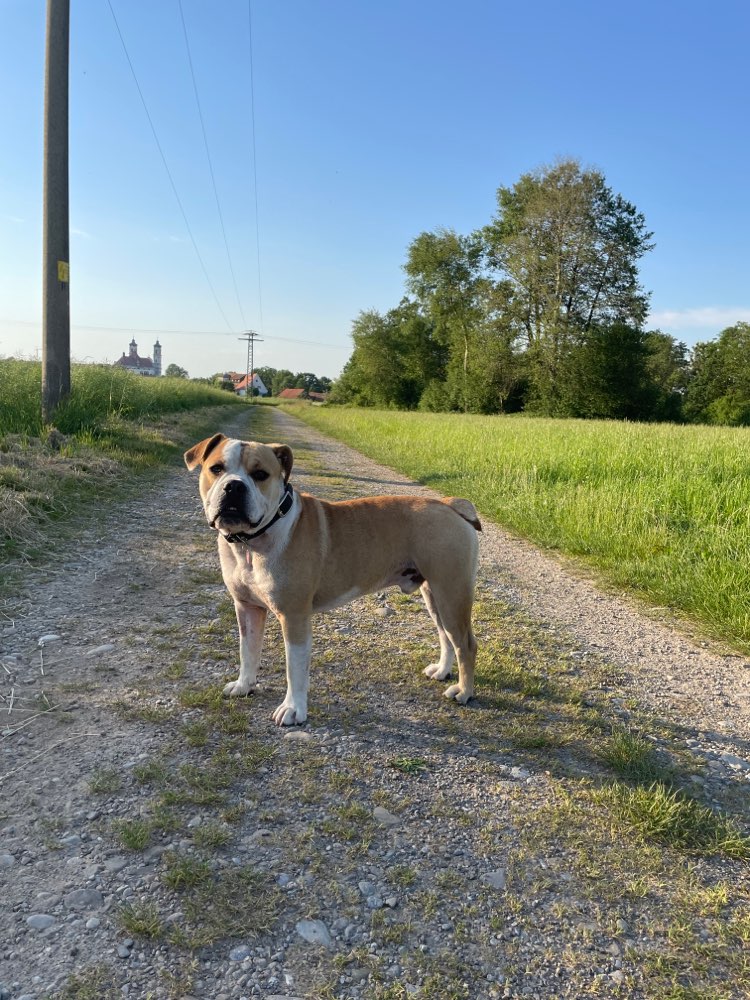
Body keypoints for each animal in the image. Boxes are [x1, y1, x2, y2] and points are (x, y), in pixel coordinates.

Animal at [185, 434, 484, 724]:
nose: (234, 487)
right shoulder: (247, 608)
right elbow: (247, 651)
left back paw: (463, 691)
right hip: (435, 596)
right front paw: (244, 685)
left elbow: (295, 668)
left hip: (451, 594)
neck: (252, 542)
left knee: (466, 644)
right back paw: (443, 671)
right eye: (216, 469)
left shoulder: (294, 617)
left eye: (260, 474)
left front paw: (293, 709)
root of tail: (449, 505)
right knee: (446, 636)